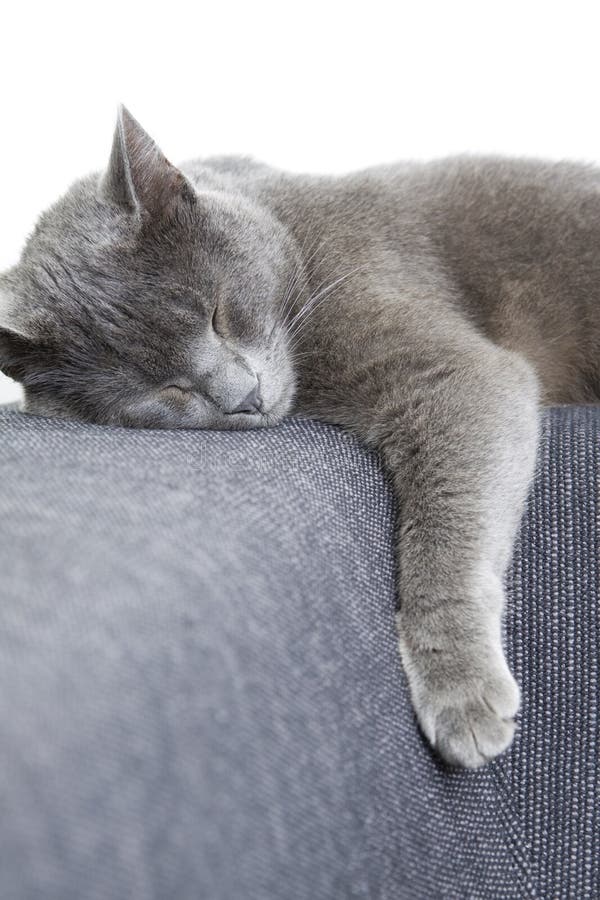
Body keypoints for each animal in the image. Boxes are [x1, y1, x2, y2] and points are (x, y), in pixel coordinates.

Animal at [2, 105, 596, 768]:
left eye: (217, 312)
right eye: (165, 389)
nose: (245, 395)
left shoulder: (448, 373)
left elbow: (444, 533)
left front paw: (460, 695)